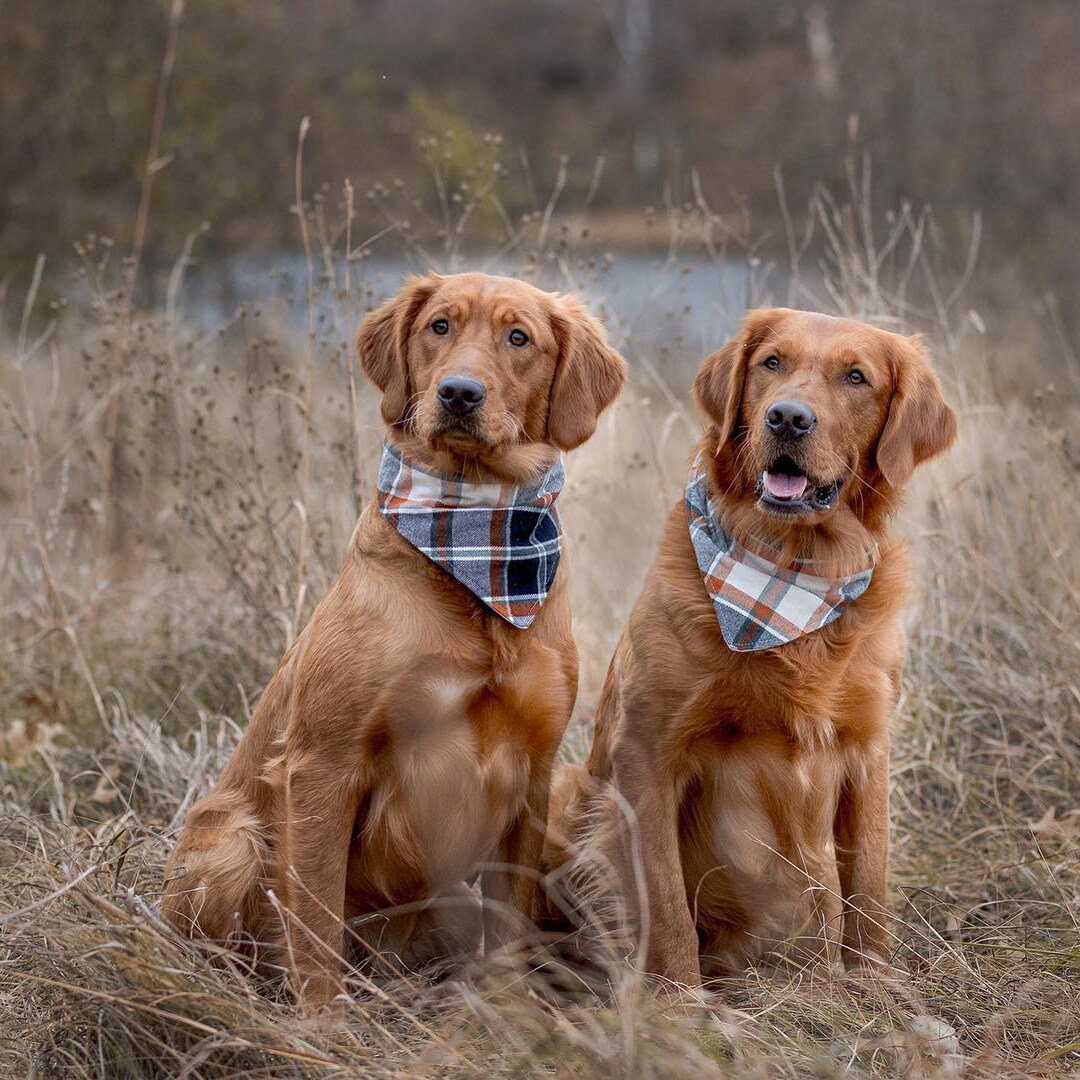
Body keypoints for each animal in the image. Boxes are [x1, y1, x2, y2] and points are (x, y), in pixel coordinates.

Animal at [163, 272, 630, 1002]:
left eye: (518, 337)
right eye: (440, 326)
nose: (460, 393)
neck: (475, 552)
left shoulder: (532, 776)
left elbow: (510, 926)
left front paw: (509, 1012)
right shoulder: (321, 766)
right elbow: (315, 925)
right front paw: (321, 1024)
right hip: (230, 839)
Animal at [544, 306, 959, 989]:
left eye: (856, 377)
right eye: (772, 363)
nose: (788, 417)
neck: (793, 567)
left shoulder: (868, 748)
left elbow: (869, 882)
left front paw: (873, 983)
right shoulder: (645, 750)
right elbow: (664, 899)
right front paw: (680, 999)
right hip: (568, 794)